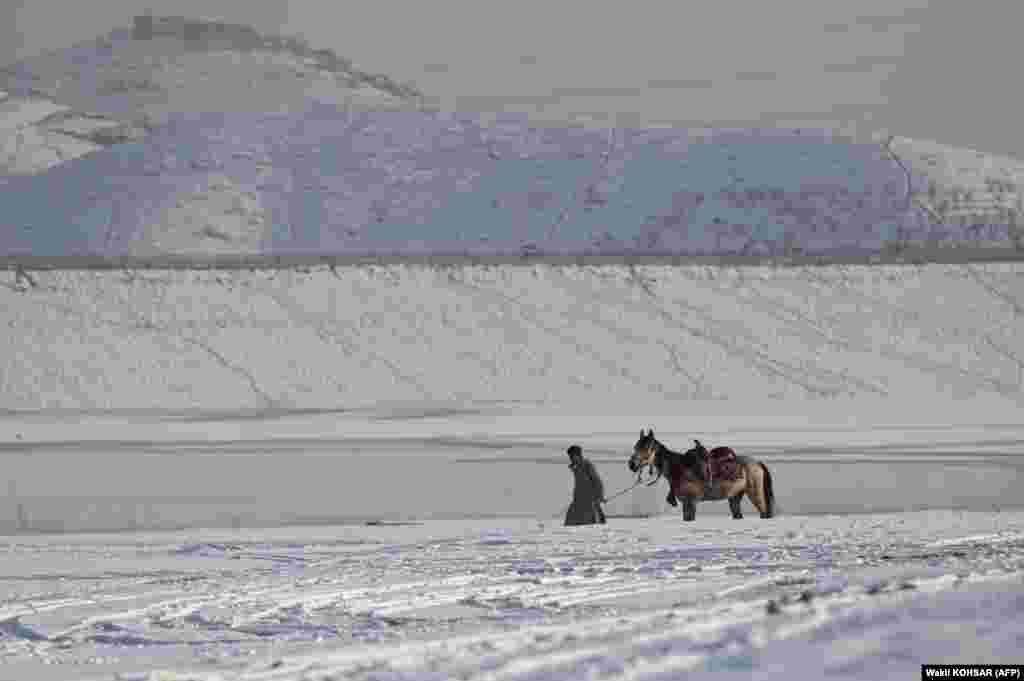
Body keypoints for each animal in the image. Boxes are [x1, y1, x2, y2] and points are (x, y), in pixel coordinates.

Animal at [622, 430, 774, 520]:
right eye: (636, 447)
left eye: (647, 447)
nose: (632, 465)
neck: (680, 468)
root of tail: (757, 463)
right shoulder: (686, 504)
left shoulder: (691, 502)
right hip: (735, 497)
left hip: (755, 494)